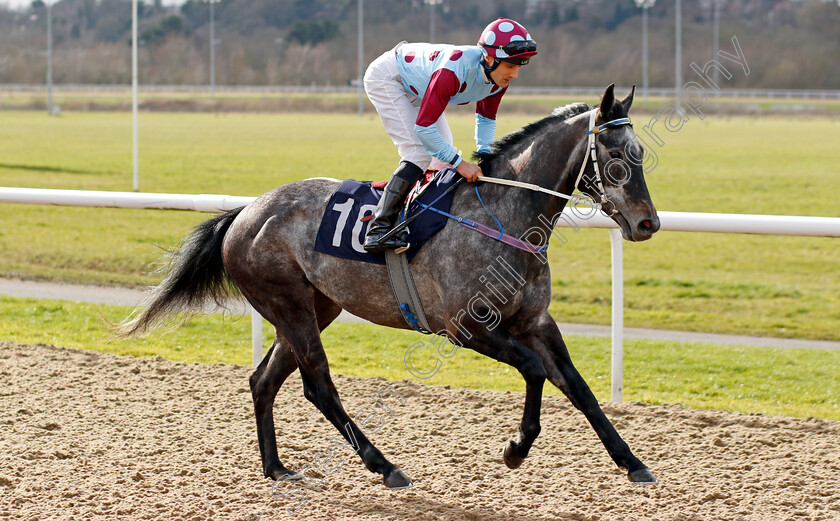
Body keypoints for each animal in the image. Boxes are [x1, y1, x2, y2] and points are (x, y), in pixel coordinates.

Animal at [120, 84, 656, 488]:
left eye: (640, 152)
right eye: (614, 155)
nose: (647, 223)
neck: (504, 216)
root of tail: (246, 211)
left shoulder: (536, 321)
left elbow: (578, 387)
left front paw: (633, 462)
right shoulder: (466, 327)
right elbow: (534, 370)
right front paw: (515, 448)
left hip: (315, 307)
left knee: (263, 380)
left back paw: (275, 467)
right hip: (288, 303)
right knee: (318, 385)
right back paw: (385, 466)